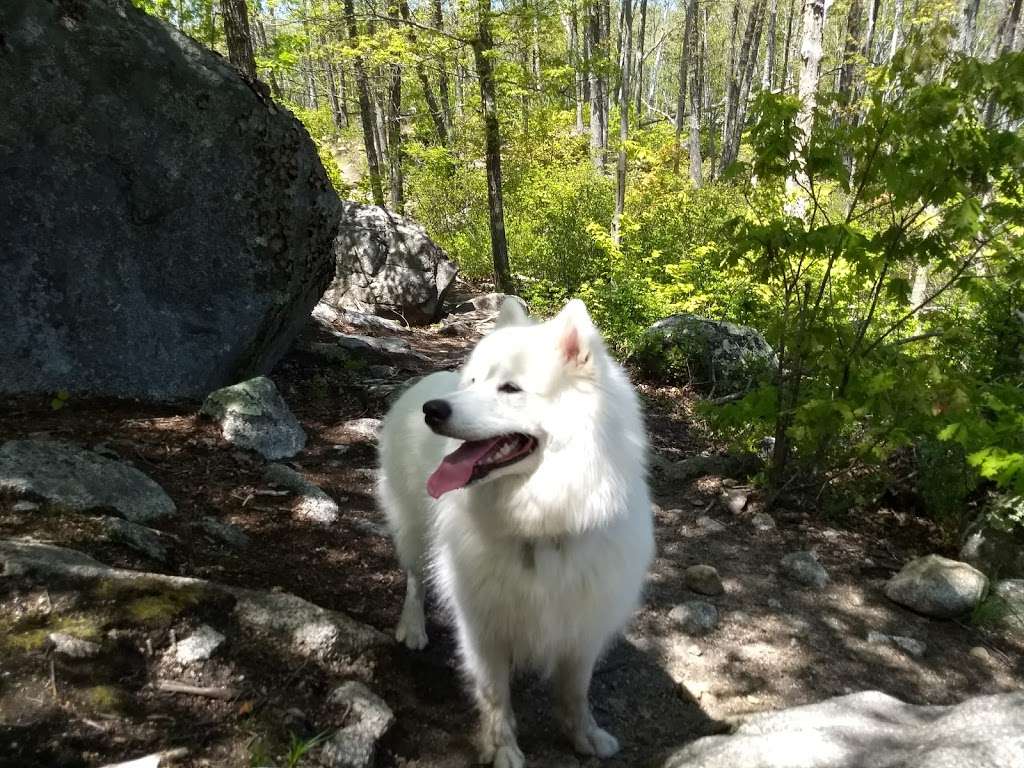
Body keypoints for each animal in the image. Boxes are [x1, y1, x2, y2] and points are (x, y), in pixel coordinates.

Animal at [378, 301, 655, 768]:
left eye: (510, 389)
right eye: (473, 382)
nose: (433, 411)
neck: (542, 523)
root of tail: (426, 382)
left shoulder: (582, 626)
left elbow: (576, 692)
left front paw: (584, 735)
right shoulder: (482, 624)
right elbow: (494, 695)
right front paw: (502, 748)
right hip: (412, 531)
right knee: (415, 579)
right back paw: (412, 627)